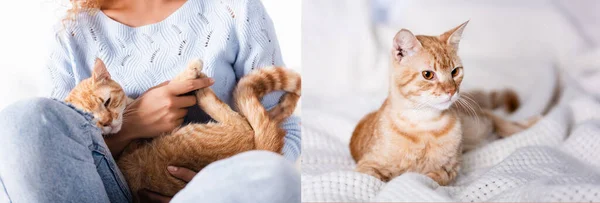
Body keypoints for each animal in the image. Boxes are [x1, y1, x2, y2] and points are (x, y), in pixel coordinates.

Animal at [346, 21, 540, 185]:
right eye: (428, 75)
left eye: (455, 72)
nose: (451, 91)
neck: (424, 123)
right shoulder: (366, 167)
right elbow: (383, 177)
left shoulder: (451, 169)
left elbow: (432, 176)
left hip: (479, 123)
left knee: (499, 120)